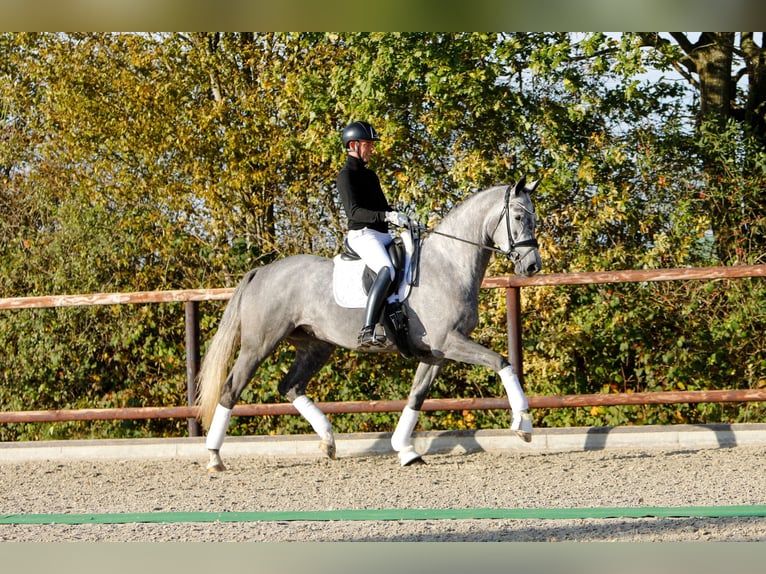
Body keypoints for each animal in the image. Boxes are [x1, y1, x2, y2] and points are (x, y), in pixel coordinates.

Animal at [198, 177, 544, 472]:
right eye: (517, 217)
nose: (532, 266)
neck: (449, 264)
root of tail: (262, 271)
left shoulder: (437, 352)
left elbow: (416, 396)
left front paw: (405, 450)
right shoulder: (450, 342)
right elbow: (501, 362)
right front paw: (523, 425)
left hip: (315, 346)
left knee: (290, 386)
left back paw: (328, 442)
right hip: (259, 345)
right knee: (231, 390)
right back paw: (214, 457)